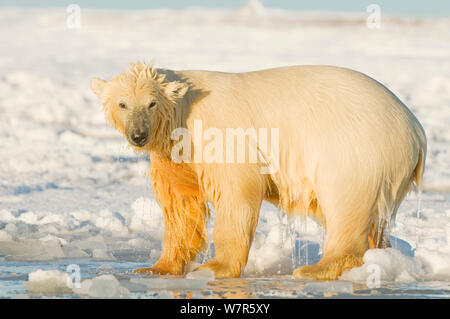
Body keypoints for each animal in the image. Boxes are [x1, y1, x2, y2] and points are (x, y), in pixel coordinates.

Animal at [90, 62, 426, 280]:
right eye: (122, 103)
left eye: (151, 103)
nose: (138, 135)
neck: (184, 109)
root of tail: (416, 130)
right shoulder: (177, 153)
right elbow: (182, 204)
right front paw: (155, 267)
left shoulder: (220, 131)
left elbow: (237, 190)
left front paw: (214, 267)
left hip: (357, 150)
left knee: (345, 204)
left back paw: (314, 268)